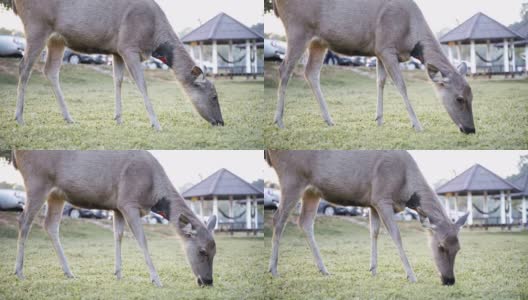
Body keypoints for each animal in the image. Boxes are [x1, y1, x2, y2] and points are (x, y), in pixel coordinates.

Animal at [12, 0, 223, 130]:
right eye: (214, 96)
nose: (221, 122)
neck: (153, 39)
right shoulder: (128, 47)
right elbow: (142, 84)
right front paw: (156, 124)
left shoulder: (117, 50)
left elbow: (118, 81)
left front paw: (119, 118)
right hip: (37, 26)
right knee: (24, 67)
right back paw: (19, 117)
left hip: (57, 39)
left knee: (50, 70)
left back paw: (69, 118)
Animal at [13, 151, 218, 288]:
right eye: (202, 251)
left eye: (215, 252)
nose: (208, 281)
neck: (153, 194)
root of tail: (16, 153)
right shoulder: (128, 202)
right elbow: (142, 240)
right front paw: (156, 279)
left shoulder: (117, 206)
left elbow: (118, 235)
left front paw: (118, 273)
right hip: (37, 181)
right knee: (24, 220)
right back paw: (19, 272)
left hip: (56, 195)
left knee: (50, 225)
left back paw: (69, 272)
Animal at [266, 151, 468, 284]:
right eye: (440, 247)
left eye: (458, 248)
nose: (449, 280)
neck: (405, 188)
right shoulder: (382, 198)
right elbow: (396, 236)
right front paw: (411, 275)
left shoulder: (372, 203)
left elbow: (374, 232)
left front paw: (373, 269)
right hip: (292, 178)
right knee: (278, 219)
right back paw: (273, 270)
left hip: (312, 191)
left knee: (305, 223)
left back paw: (323, 269)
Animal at [272, 0, 474, 134]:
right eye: (459, 99)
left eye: (472, 97)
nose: (471, 129)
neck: (411, 36)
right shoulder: (386, 47)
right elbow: (401, 85)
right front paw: (417, 125)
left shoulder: (379, 51)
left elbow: (380, 81)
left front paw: (379, 119)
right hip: (298, 29)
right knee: (284, 69)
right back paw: (279, 121)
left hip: (318, 42)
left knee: (311, 73)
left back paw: (329, 120)